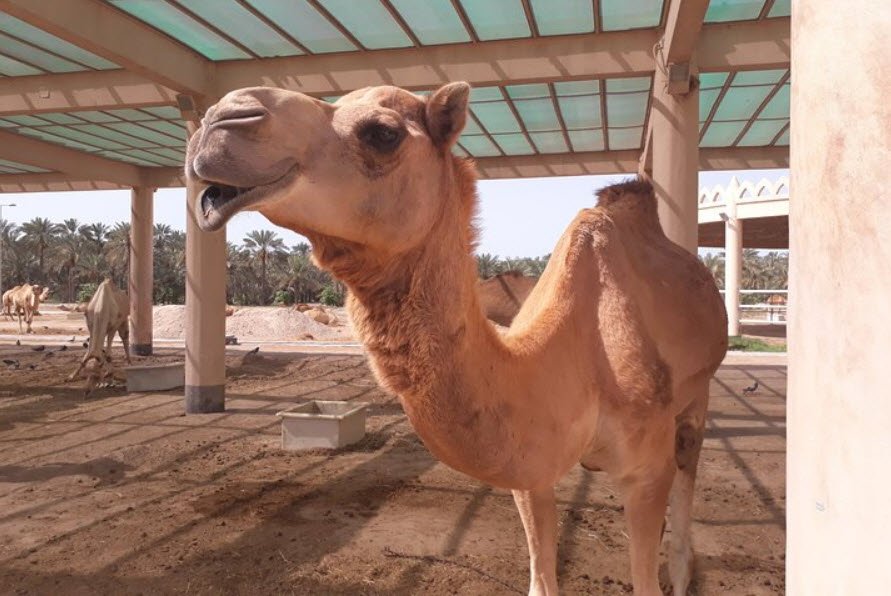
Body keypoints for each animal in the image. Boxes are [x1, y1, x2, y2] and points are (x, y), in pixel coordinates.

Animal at [186, 83, 727, 595]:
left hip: (695, 397)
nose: (219, 120)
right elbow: (540, 579)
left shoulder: (645, 469)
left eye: (383, 133)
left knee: (688, 474)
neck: (576, 360)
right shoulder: (530, 472)